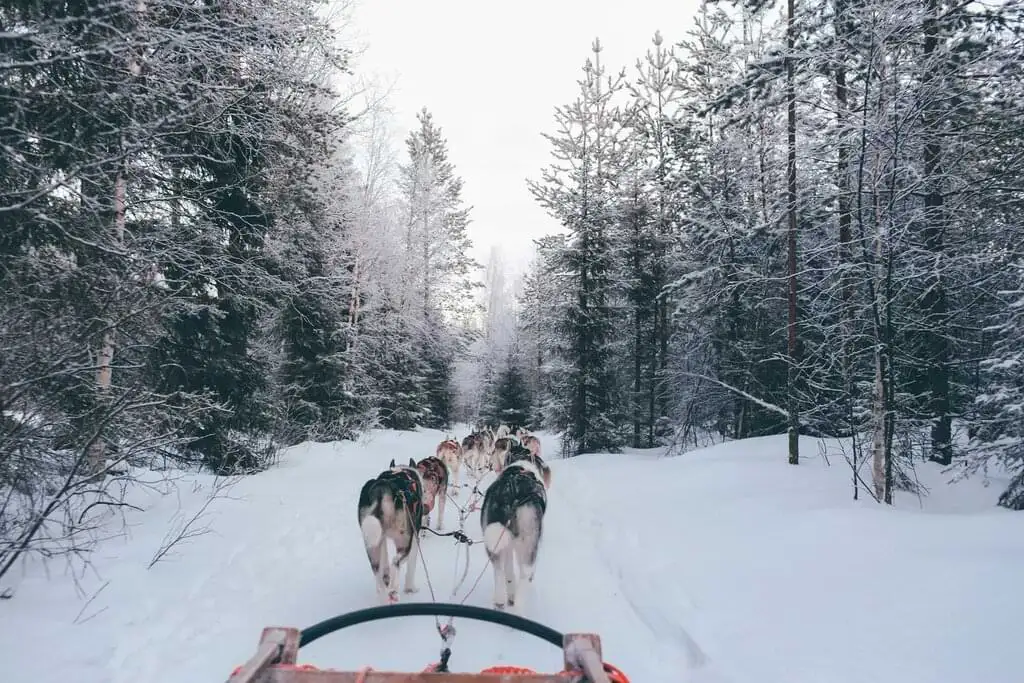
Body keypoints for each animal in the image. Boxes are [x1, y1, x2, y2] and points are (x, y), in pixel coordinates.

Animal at [360, 458, 423, 602]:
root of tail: (382, 489)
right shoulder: (414, 538)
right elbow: (411, 566)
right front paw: (410, 588)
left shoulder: (381, 538)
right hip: (404, 540)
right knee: (396, 562)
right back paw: (393, 590)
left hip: (372, 545)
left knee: (378, 572)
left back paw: (384, 592)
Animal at [481, 450, 548, 610]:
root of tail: (509, 495)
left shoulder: (508, 546)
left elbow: (509, 571)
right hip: (528, 546)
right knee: (524, 576)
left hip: (495, 544)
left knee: (501, 572)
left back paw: (501, 601)